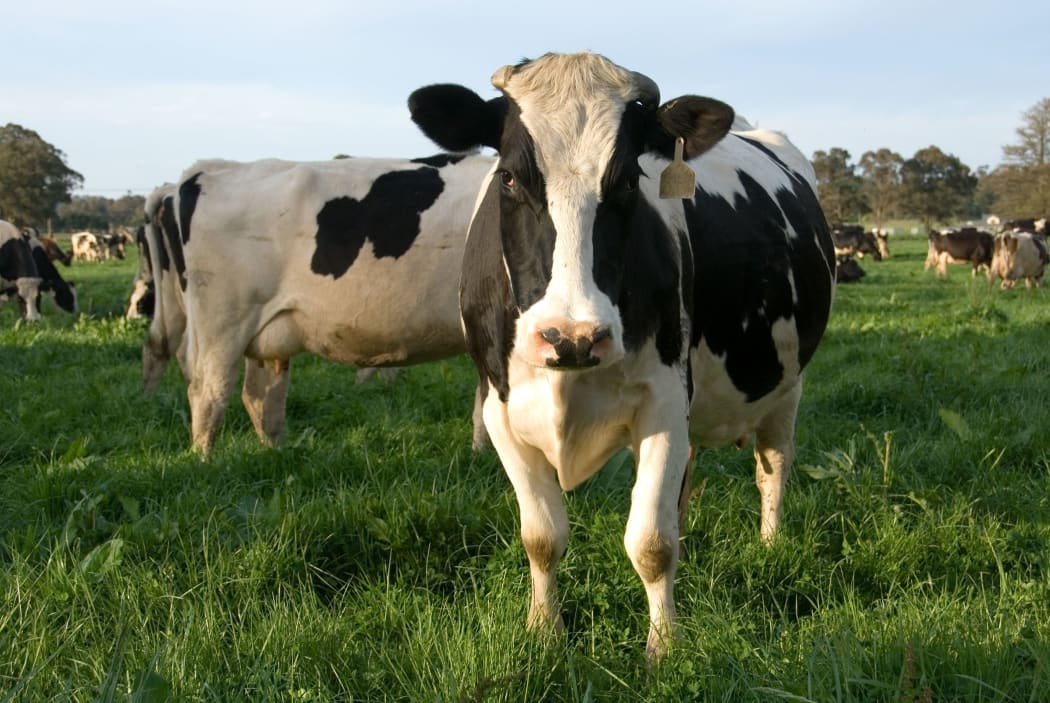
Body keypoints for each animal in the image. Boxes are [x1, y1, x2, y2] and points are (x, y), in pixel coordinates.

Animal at [156, 154, 495, 454]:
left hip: (262, 335)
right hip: (222, 325)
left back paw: (277, 455)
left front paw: (478, 455)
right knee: (208, 394)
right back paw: (205, 461)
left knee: (259, 398)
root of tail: (211, 168)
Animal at [408, 51, 835, 659]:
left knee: (772, 466)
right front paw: (544, 632)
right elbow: (542, 536)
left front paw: (663, 648)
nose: (572, 336)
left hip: (786, 384)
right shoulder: (499, 408)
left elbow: (651, 543)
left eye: (630, 179)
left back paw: (771, 547)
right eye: (509, 177)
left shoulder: (665, 402)